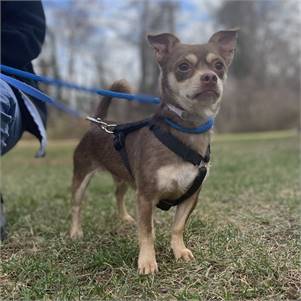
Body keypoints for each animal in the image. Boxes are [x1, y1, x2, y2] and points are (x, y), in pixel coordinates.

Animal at [69, 29, 238, 274]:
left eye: (219, 65)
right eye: (183, 67)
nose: (210, 77)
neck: (188, 130)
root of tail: (98, 124)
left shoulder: (190, 196)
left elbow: (177, 227)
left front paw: (179, 250)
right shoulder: (146, 195)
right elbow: (146, 232)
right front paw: (147, 261)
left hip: (124, 177)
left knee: (118, 194)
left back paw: (125, 218)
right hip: (81, 177)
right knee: (76, 205)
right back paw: (75, 232)